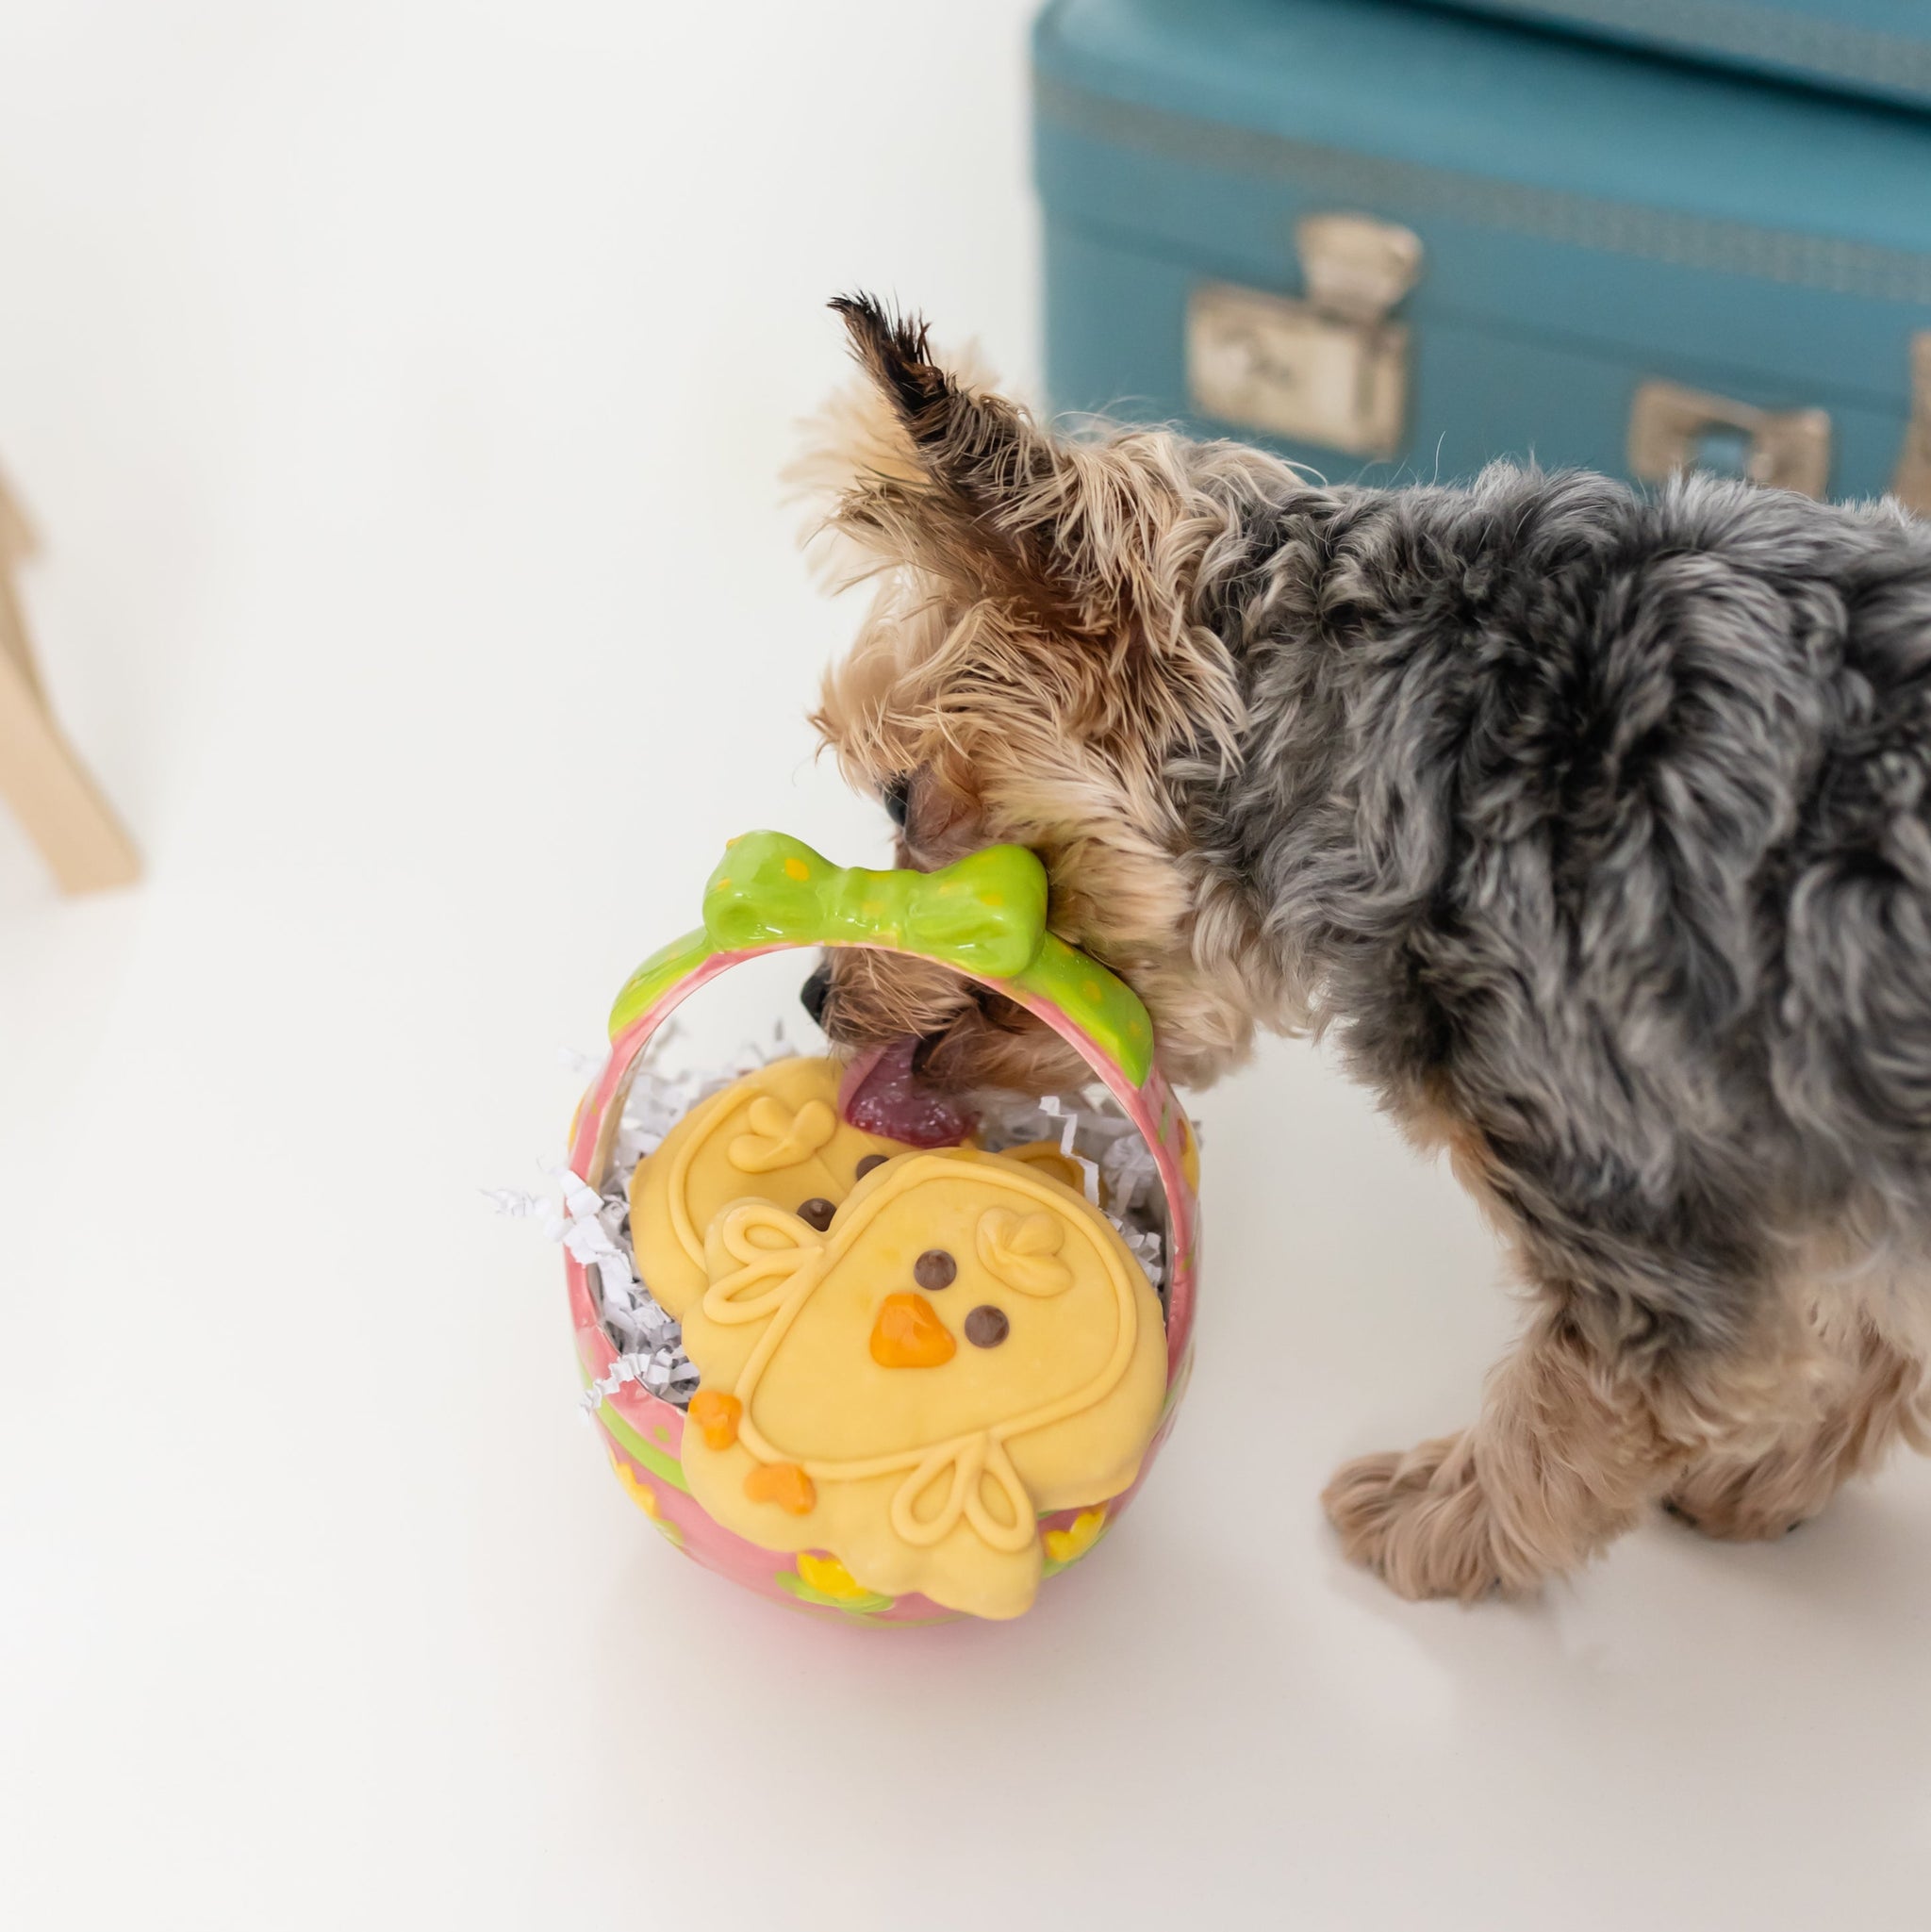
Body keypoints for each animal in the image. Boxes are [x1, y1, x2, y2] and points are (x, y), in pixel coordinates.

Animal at [796, 291, 1931, 1601]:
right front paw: (1769, 1483)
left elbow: (1569, 1408)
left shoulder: (1639, 1194)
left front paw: (1442, 1526)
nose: (813, 991)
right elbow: (1871, 1338)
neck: (1433, 746)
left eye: (898, 797)